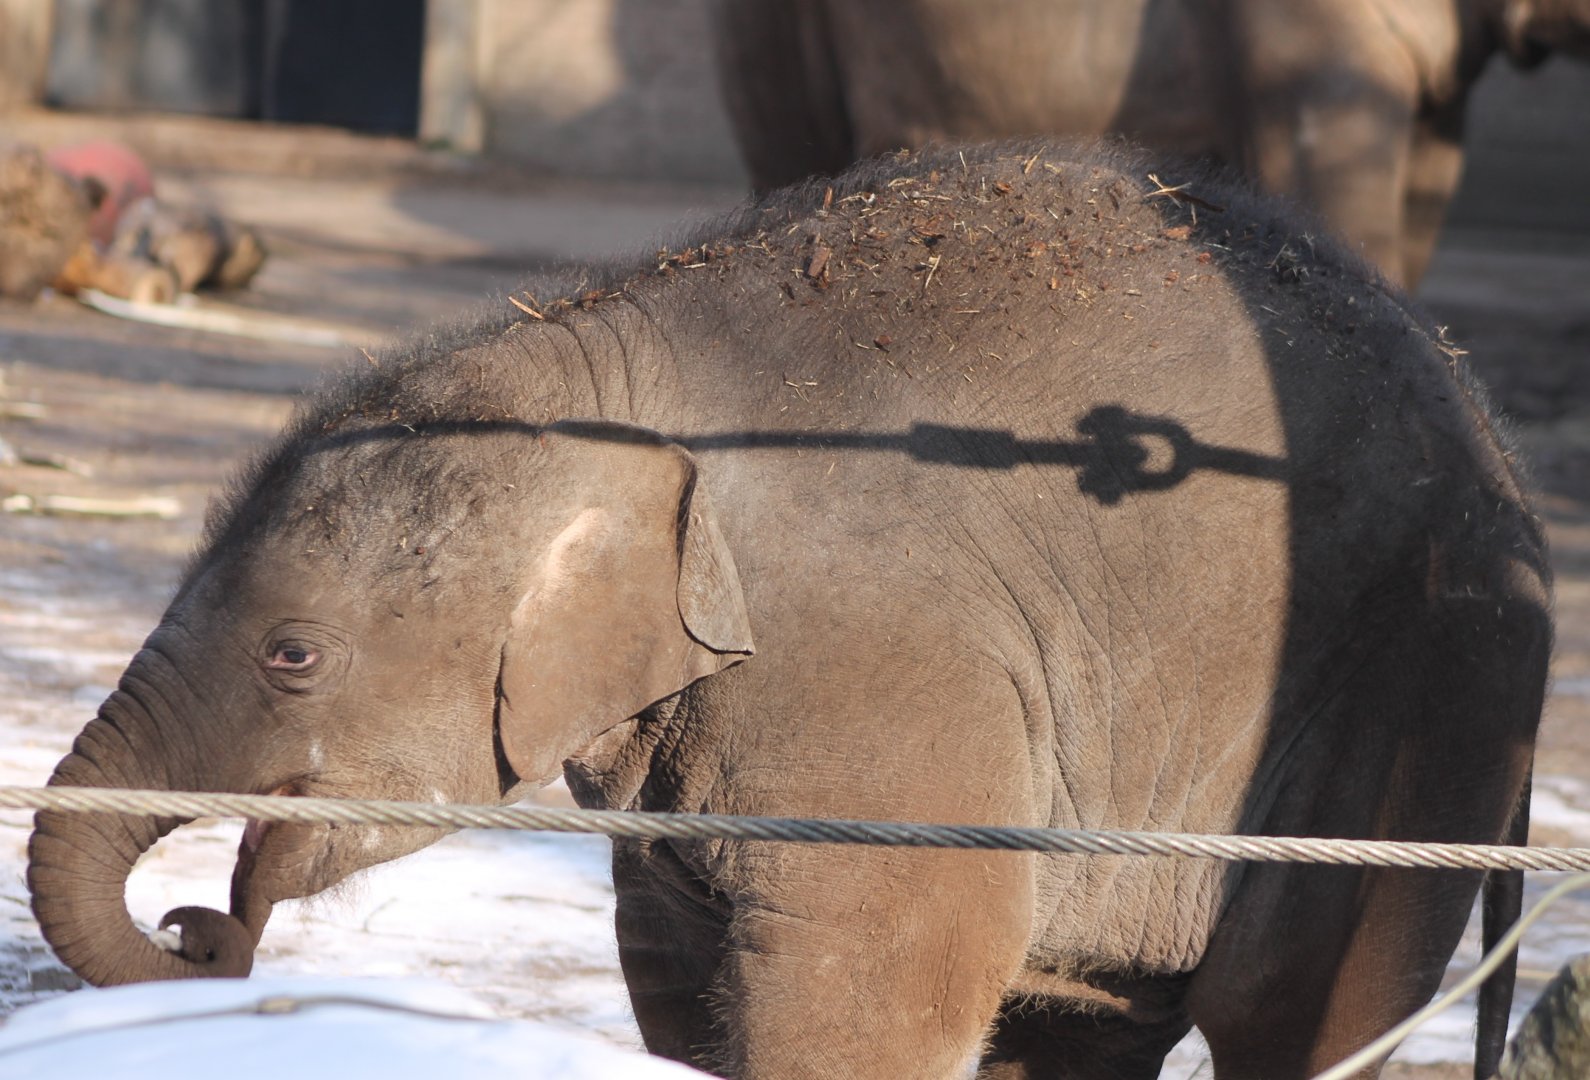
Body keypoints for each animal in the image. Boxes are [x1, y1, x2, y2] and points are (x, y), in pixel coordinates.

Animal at [29, 139, 1550, 1080]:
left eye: (295, 655)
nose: (201, 931)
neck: (595, 345)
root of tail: (1491, 425)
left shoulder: (887, 672)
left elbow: (873, 993)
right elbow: (678, 978)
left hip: (1420, 694)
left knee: (1289, 1010)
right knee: (1088, 1019)